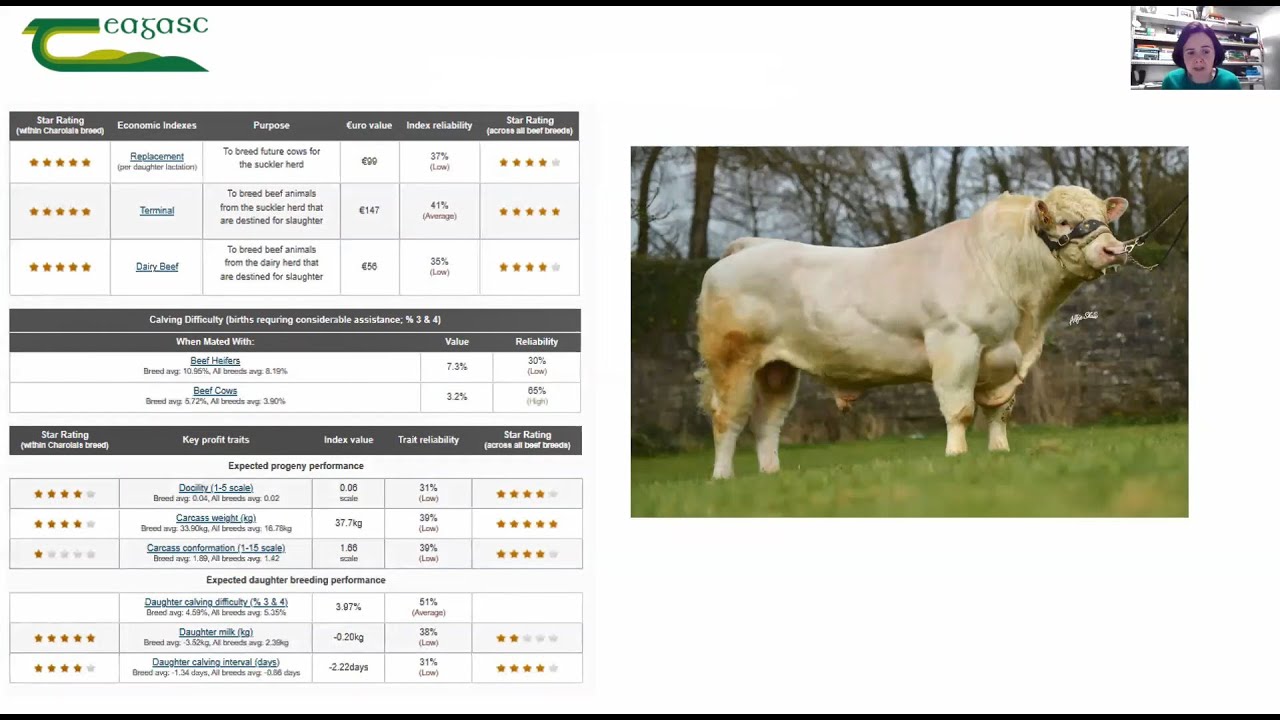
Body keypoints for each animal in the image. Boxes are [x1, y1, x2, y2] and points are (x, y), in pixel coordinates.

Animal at [694, 185, 1131, 480]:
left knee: (768, 421)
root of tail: (749, 247)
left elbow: (998, 410)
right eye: (1063, 221)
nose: (1114, 249)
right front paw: (956, 455)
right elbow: (960, 408)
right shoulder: (956, 342)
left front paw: (999, 452)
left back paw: (771, 473)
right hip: (731, 361)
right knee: (728, 417)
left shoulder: (1006, 357)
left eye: (1106, 217)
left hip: (778, 368)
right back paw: (722, 476)